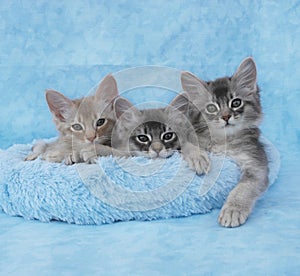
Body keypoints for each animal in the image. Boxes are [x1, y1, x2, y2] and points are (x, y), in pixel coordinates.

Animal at [180, 57, 270, 227]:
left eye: (236, 103)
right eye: (211, 108)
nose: (226, 116)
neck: (223, 141)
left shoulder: (256, 165)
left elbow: (243, 188)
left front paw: (232, 210)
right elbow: (189, 145)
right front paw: (199, 159)